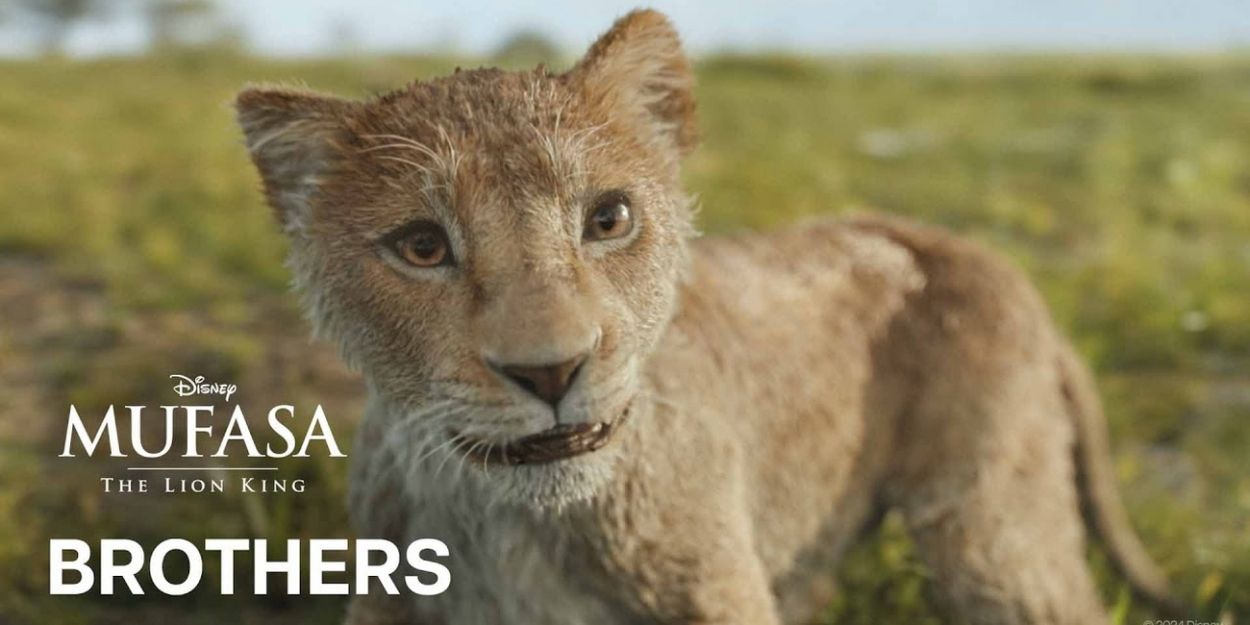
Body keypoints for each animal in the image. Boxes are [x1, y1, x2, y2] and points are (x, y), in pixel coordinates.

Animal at [235, 9, 1179, 624]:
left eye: (609, 218)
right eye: (423, 247)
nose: (550, 371)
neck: (516, 520)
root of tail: (981, 256)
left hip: (992, 535)